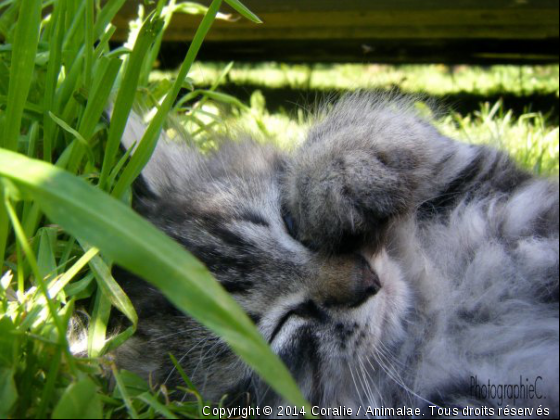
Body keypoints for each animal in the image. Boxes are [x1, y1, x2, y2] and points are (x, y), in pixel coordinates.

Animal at [111, 93, 556, 418]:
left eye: (291, 224)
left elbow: (367, 129)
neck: (433, 311)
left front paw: (343, 178)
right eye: (282, 326)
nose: (368, 282)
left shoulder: (484, 176)